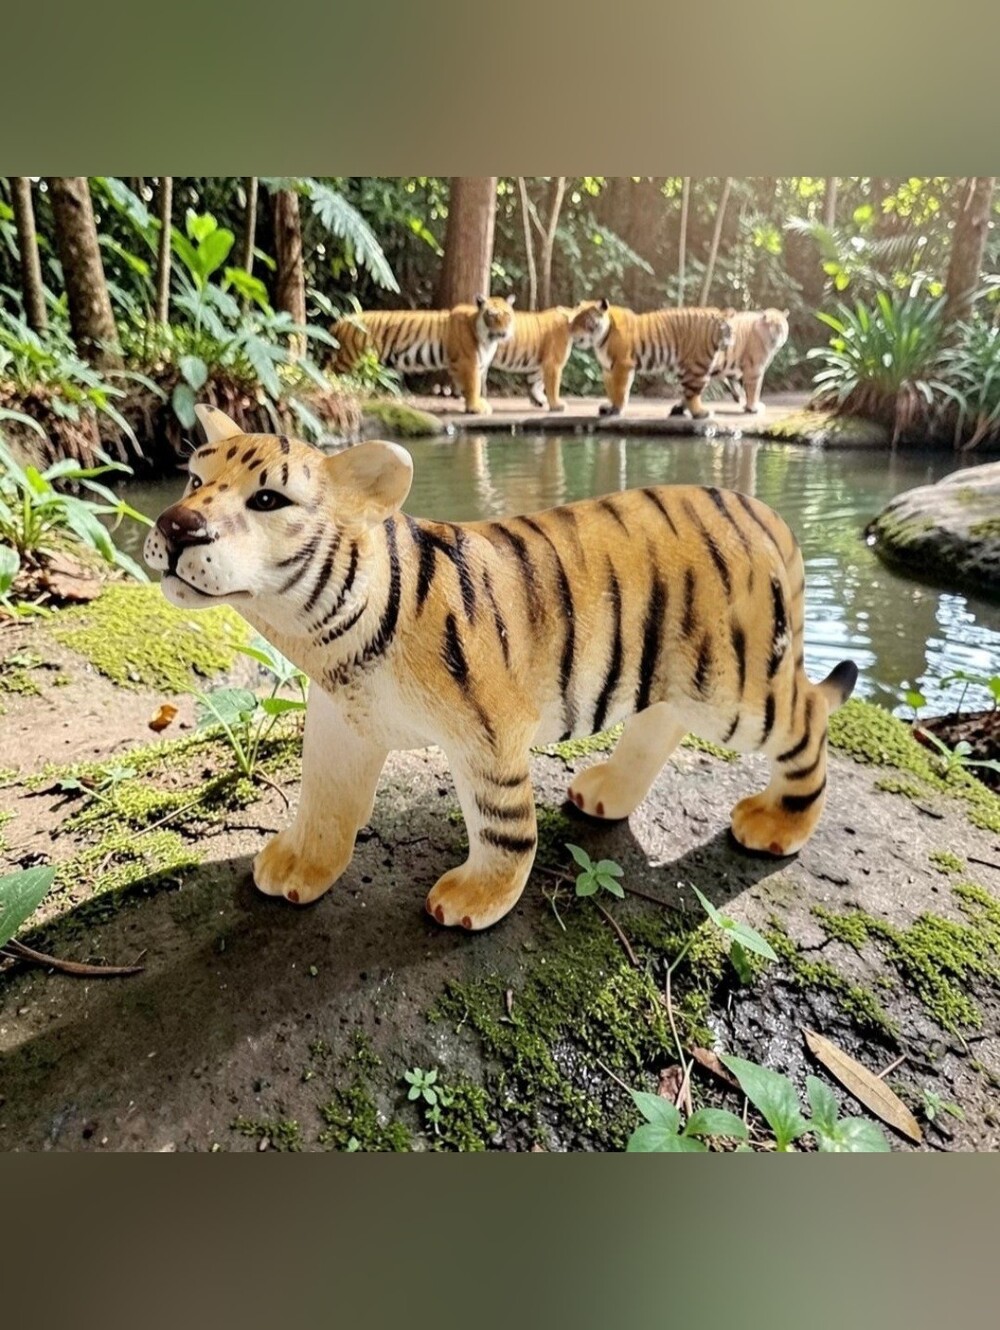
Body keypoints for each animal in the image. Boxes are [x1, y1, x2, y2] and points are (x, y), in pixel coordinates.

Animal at [144, 405, 858, 933]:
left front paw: (476, 899)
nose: (176, 525)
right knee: (662, 724)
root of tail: (768, 515)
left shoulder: (490, 732)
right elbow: (325, 799)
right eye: (194, 482)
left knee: (808, 722)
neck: (327, 638)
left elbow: (501, 823)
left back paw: (778, 825)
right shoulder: (342, 723)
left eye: (267, 500)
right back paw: (607, 793)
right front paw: (300, 868)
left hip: (736, 688)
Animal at [329, 295, 516, 414]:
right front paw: (476, 407)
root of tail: (341, 320)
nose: (504, 332)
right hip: (349, 358)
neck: (488, 338)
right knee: (329, 373)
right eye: (492, 316)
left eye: (507, 315)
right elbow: (473, 386)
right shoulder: (467, 362)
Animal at [570, 299, 735, 418]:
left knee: (692, 393)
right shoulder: (608, 368)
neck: (599, 339)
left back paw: (700, 413)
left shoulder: (622, 365)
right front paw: (610, 407)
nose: (570, 330)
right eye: (574, 319)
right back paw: (679, 410)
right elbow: (610, 389)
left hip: (698, 365)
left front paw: (615, 410)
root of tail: (717, 313)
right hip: (689, 367)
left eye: (582, 320)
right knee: (688, 391)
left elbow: (619, 390)